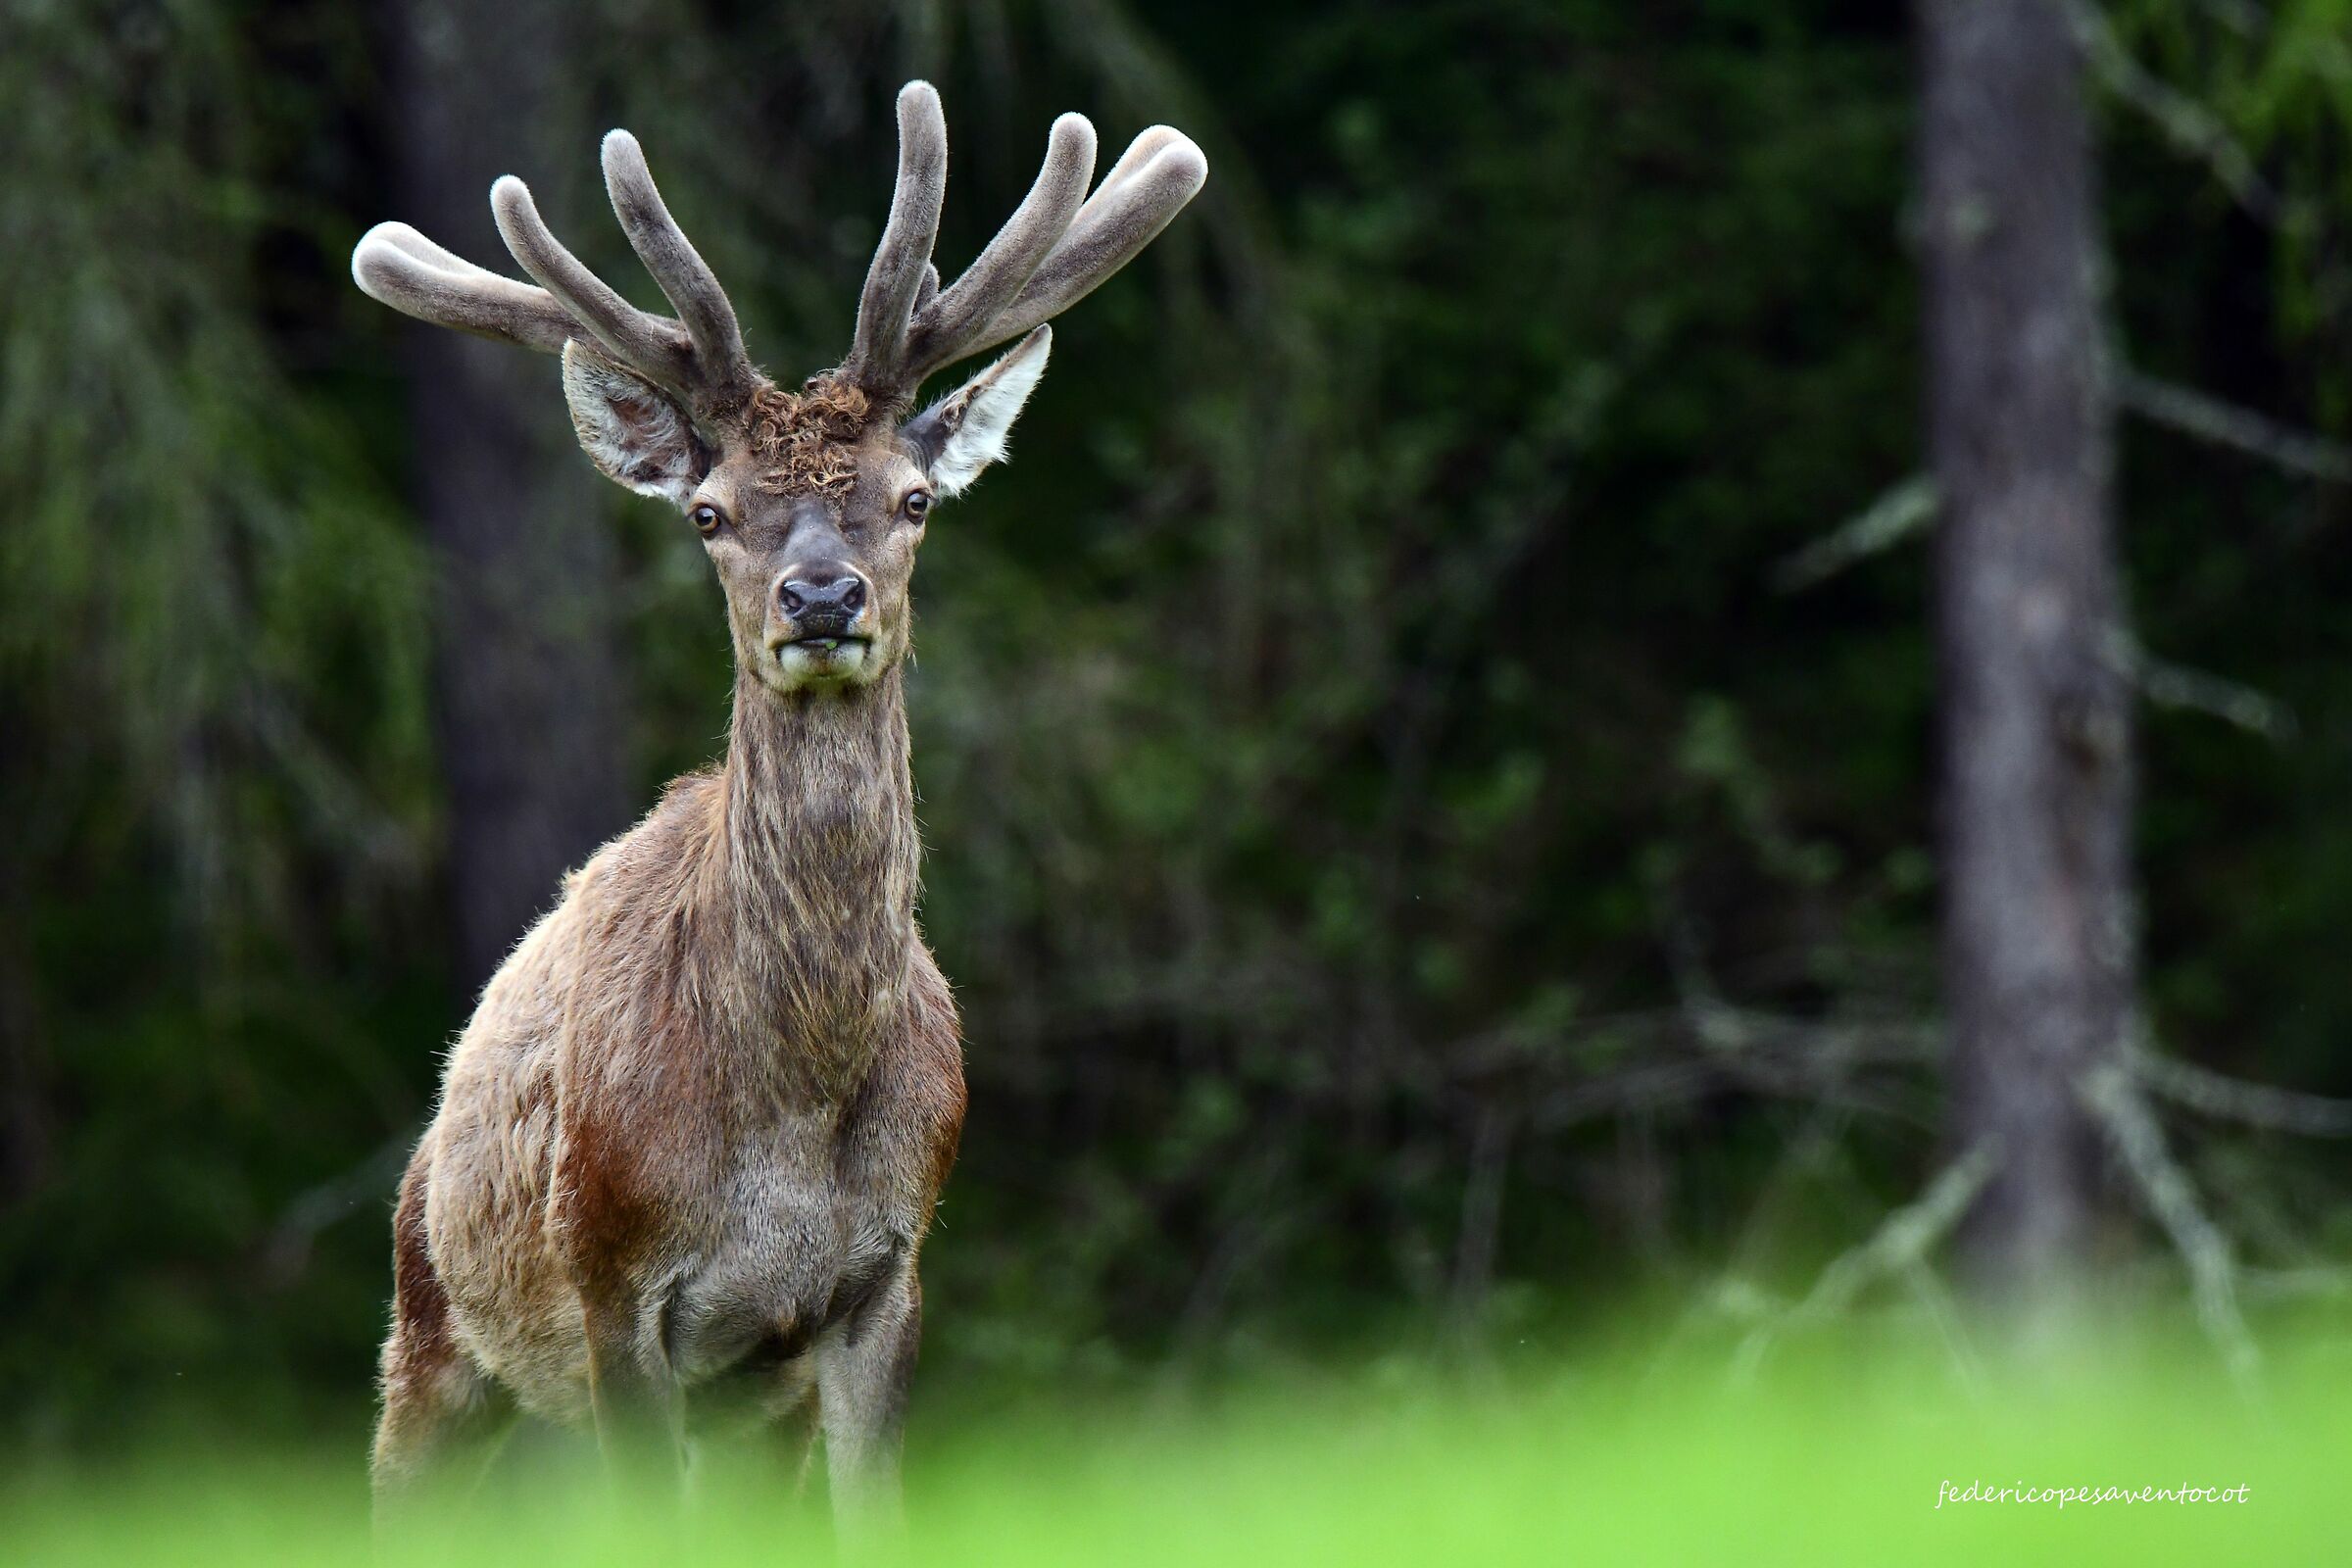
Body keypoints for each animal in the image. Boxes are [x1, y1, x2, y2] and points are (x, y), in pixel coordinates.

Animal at [348, 81, 1205, 1531]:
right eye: (709, 511)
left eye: (912, 499)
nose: (819, 597)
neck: (793, 1121)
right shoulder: (613, 1282)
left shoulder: (882, 1280)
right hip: (433, 1328)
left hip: (750, 1401)